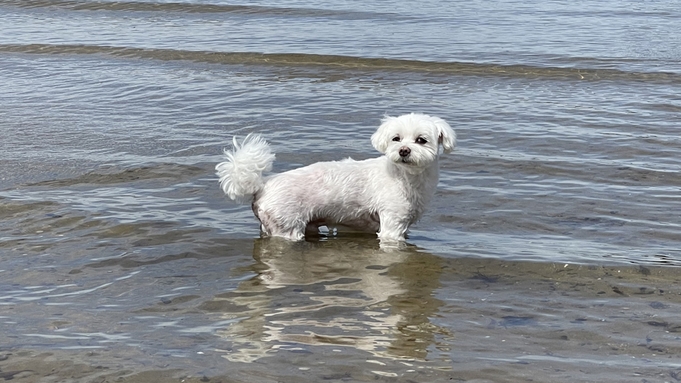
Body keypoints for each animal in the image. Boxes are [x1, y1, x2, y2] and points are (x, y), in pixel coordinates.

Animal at [215, 113, 454, 243]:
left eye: (421, 140)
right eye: (396, 138)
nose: (404, 150)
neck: (404, 176)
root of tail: (262, 185)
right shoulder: (392, 226)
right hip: (288, 227)